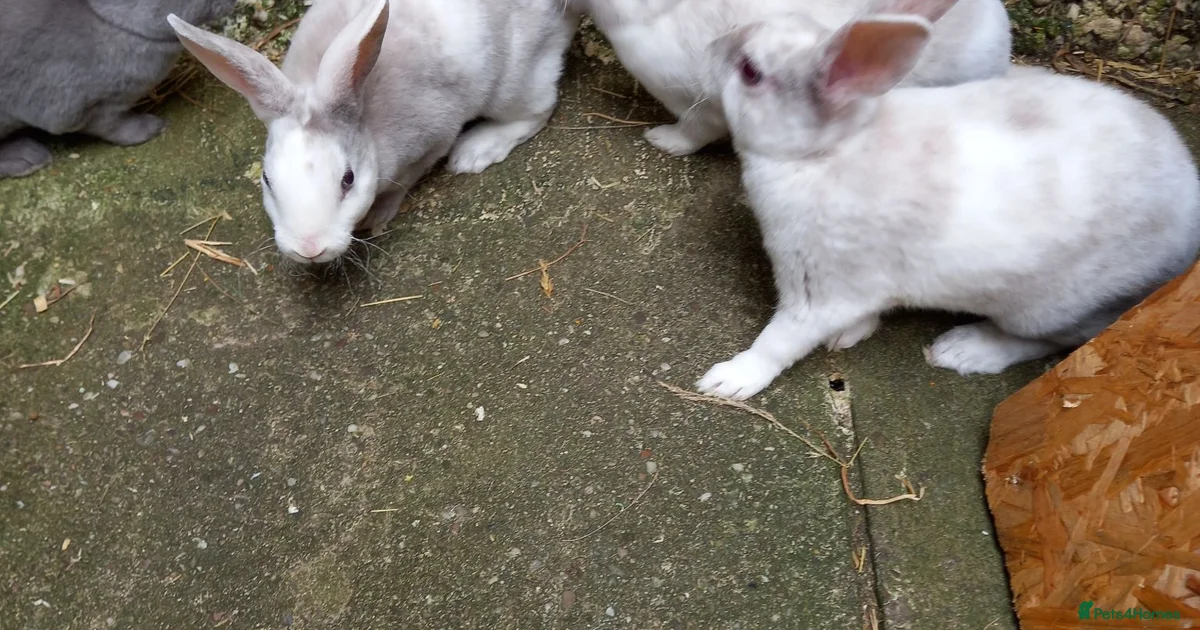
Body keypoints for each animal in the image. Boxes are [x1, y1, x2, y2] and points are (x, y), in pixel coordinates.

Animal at [169, 0, 581, 264]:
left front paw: (378, 217)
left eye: (348, 180)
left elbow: (405, 182)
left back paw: (474, 151)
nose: (309, 249)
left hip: (516, 81)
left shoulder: (432, 140)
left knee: (539, 108)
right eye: (267, 180)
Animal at [695, 0, 1200, 401]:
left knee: (1062, 338)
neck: (826, 152)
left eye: (750, 71)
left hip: (1047, 306)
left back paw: (964, 350)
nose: (712, 47)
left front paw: (728, 381)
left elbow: (779, 342)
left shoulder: (817, 288)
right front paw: (851, 334)